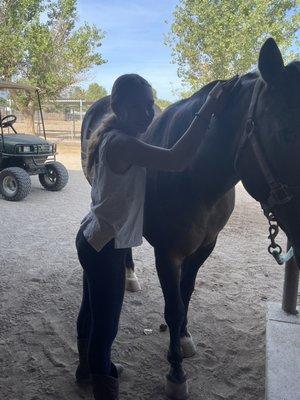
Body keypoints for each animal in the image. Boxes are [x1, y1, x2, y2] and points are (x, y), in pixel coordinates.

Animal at [81, 38, 298, 400]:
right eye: (285, 134)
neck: (196, 179)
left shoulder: (205, 247)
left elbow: (187, 293)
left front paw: (182, 338)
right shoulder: (167, 252)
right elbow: (174, 305)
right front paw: (176, 373)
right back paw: (129, 276)